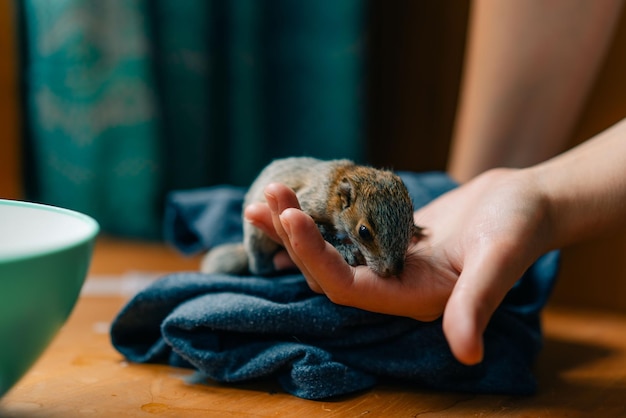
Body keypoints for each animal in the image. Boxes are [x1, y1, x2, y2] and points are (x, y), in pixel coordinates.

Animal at [202, 157, 422, 278]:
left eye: (410, 227)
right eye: (364, 232)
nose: (393, 271)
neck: (335, 186)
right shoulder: (309, 201)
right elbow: (321, 228)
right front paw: (346, 249)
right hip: (257, 243)